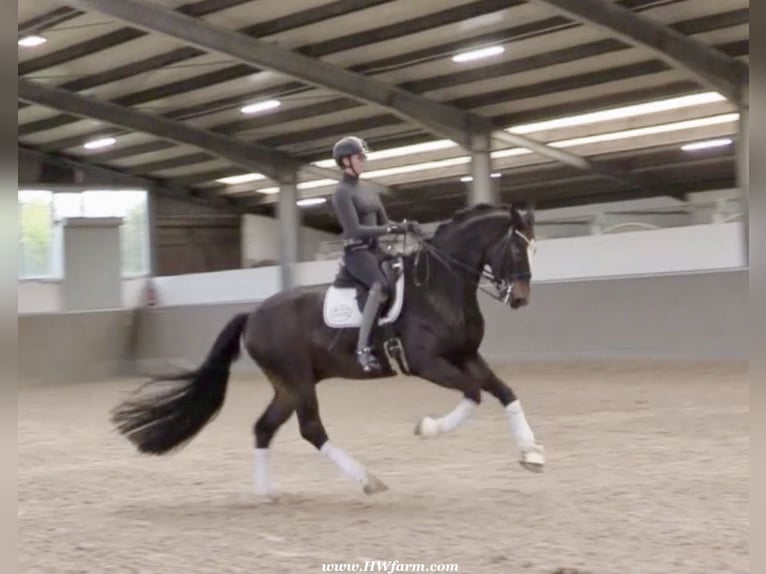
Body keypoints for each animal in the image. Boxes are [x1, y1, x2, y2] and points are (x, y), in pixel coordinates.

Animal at [112, 204, 544, 500]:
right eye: (516, 249)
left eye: (533, 249)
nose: (521, 298)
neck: (440, 285)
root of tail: (253, 315)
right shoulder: (427, 363)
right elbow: (473, 393)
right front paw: (426, 428)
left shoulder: (466, 355)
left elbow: (505, 392)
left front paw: (531, 454)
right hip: (299, 380)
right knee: (311, 429)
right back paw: (368, 480)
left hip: (289, 386)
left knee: (265, 428)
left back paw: (267, 493)